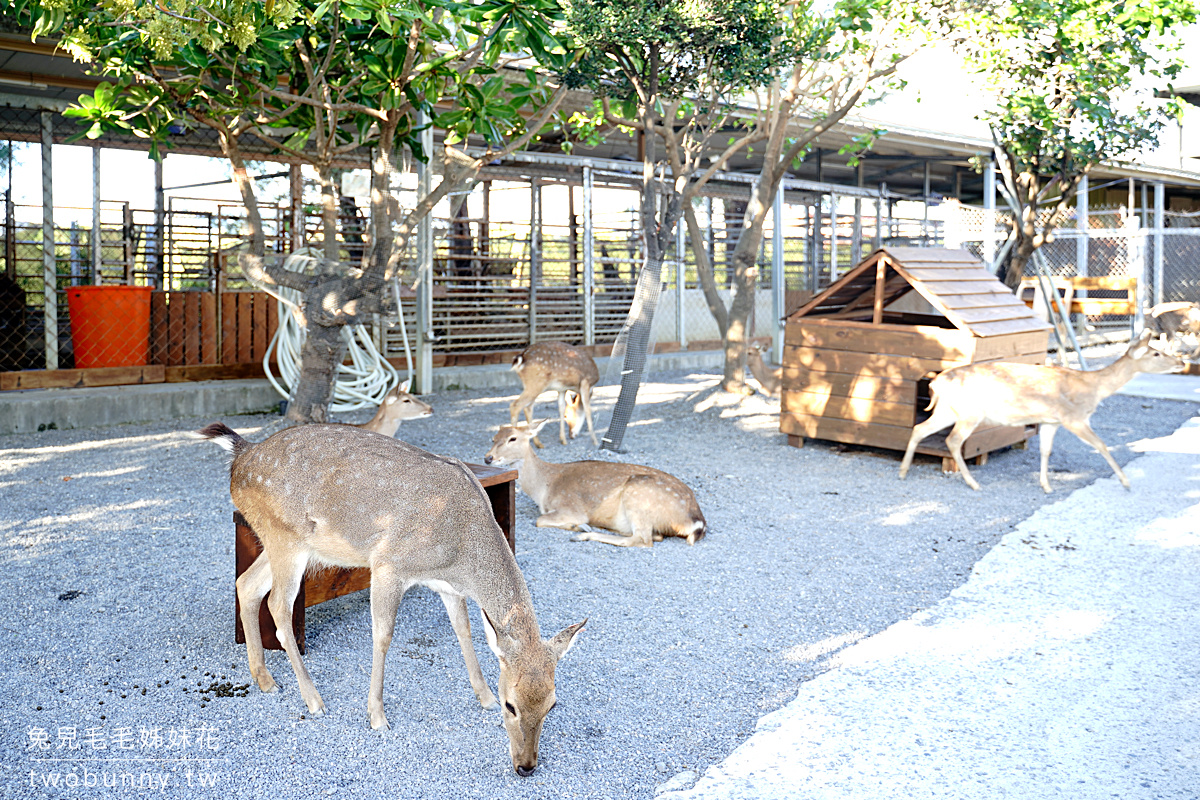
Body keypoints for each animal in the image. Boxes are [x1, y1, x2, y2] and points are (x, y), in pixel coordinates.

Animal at [195, 424, 585, 777]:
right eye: (511, 705)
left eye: (552, 704)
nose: (526, 766)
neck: (461, 551)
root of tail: (241, 456)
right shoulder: (388, 564)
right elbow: (383, 636)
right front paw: (377, 717)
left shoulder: (447, 585)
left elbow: (463, 630)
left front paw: (482, 695)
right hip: (286, 537)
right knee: (277, 604)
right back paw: (314, 699)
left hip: (279, 541)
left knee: (246, 584)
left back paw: (264, 679)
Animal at [482, 422, 700, 546]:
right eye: (493, 438)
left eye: (513, 438)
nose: (488, 458)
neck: (544, 488)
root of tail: (696, 520)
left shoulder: (571, 507)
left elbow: (539, 520)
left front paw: (577, 527)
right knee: (654, 536)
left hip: (638, 496)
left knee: (642, 540)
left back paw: (583, 534)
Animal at [897, 331, 1185, 494]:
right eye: (1156, 353)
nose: (1181, 362)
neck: (1093, 388)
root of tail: (935, 382)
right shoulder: (1073, 417)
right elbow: (1102, 445)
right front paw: (1126, 483)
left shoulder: (1050, 420)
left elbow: (1046, 450)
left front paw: (1046, 486)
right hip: (969, 413)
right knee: (952, 440)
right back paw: (973, 483)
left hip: (947, 410)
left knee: (920, 428)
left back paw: (903, 471)